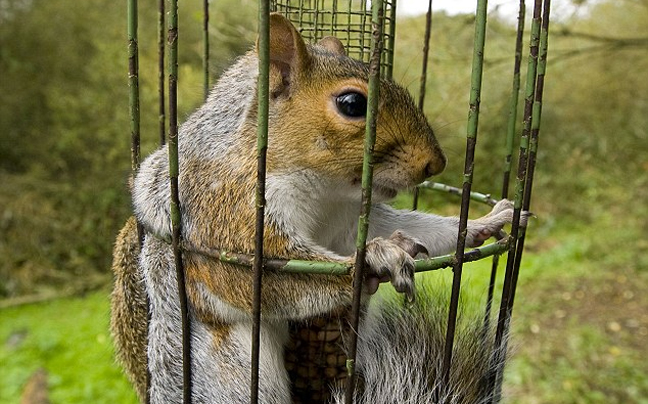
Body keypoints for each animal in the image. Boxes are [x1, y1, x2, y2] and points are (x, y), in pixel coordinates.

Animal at [110, 12, 520, 404]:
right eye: (353, 104)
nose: (435, 164)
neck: (323, 192)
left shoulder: (346, 220)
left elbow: (417, 230)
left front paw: (482, 222)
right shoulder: (225, 212)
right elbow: (272, 276)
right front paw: (374, 259)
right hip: (228, 380)